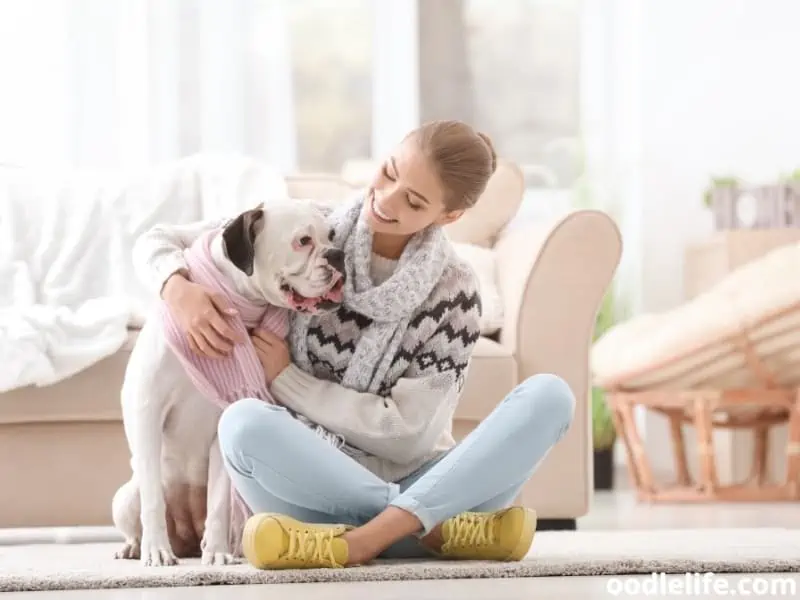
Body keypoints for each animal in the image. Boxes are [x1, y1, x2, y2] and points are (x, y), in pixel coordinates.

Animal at [111, 200, 344, 568]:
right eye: (303, 241)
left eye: (332, 236)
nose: (338, 255)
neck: (238, 298)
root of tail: (186, 538)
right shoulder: (148, 413)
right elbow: (152, 500)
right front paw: (156, 551)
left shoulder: (223, 422)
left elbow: (219, 502)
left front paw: (218, 552)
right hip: (124, 498)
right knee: (140, 507)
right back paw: (136, 546)